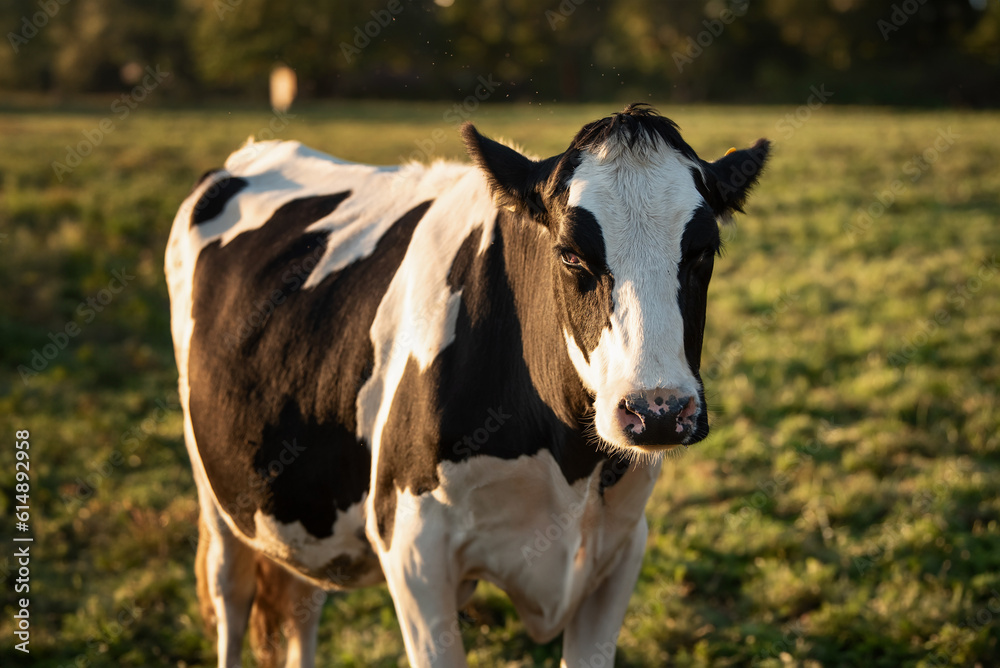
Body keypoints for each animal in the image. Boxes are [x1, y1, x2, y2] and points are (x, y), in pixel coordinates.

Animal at [166, 104, 772, 668]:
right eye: (571, 255)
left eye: (703, 251)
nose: (659, 411)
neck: (568, 464)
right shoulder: (413, 552)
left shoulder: (620, 550)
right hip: (215, 486)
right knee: (232, 596)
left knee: (298, 607)